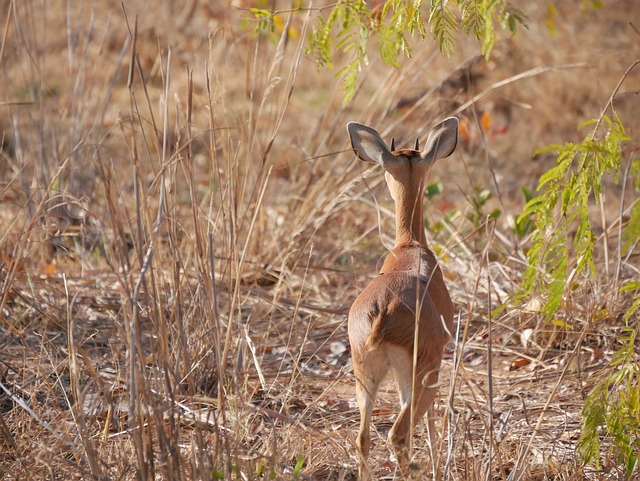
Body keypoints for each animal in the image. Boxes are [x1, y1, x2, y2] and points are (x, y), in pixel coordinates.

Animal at [348, 117, 458, 480]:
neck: (409, 245)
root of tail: (383, 313)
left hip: (366, 373)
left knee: (363, 438)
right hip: (422, 373)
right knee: (399, 434)